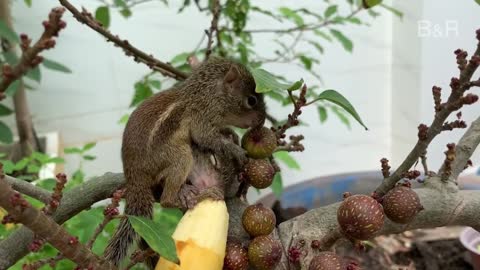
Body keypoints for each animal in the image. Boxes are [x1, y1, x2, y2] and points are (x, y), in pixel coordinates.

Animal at [104, 57, 266, 268]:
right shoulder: (202, 118)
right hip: (180, 156)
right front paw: (236, 150)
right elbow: (206, 138)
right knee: (166, 200)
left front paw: (231, 134)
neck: (207, 94)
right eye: (251, 100)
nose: (262, 120)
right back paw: (196, 195)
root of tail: (134, 176)